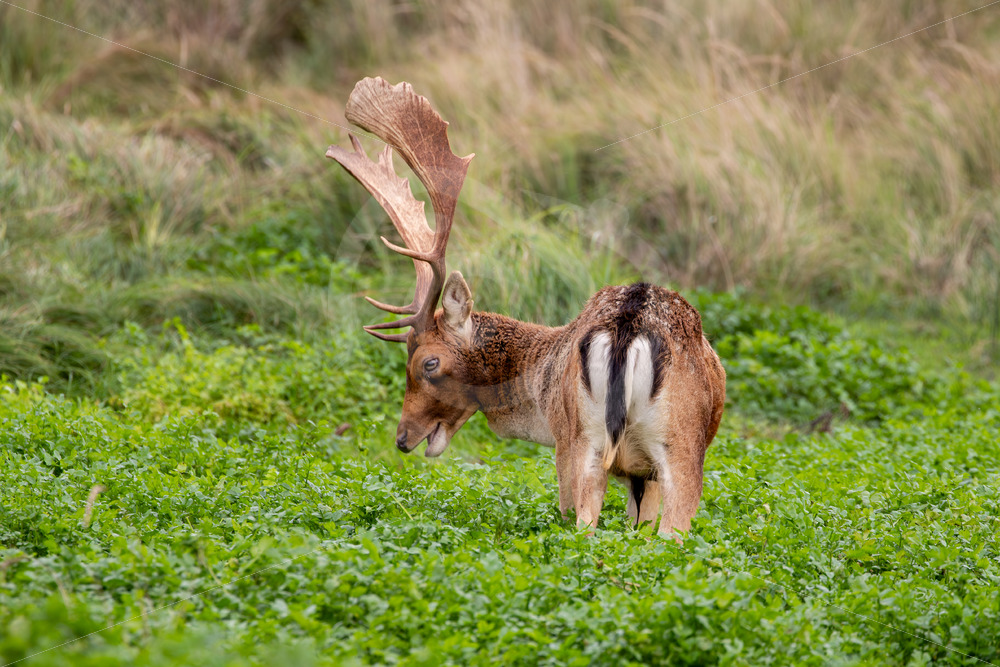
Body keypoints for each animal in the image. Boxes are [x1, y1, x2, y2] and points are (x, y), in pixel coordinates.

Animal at [326, 77, 726, 538]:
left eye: (428, 363)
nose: (402, 439)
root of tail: (629, 327)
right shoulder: (618, 463)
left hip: (614, 444)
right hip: (644, 446)